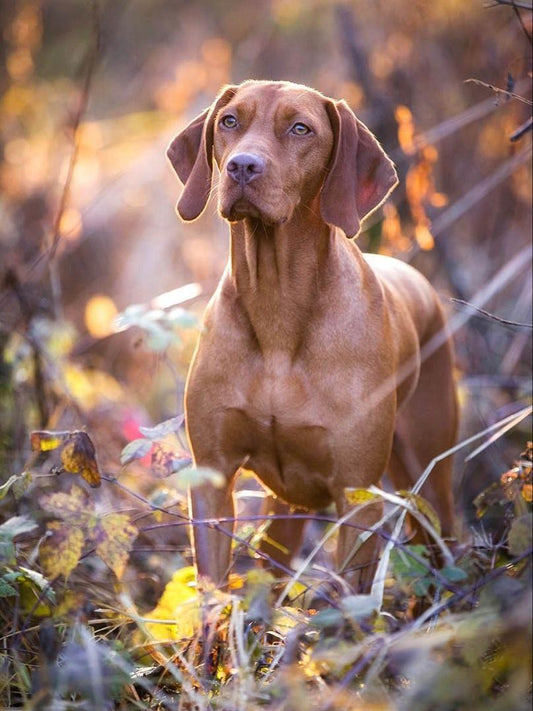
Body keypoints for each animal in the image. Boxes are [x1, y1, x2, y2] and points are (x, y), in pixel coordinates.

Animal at [167, 80, 458, 592]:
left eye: (301, 129)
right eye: (229, 122)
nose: (243, 166)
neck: (278, 306)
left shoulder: (357, 497)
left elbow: (348, 598)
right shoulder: (212, 479)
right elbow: (212, 593)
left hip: (430, 478)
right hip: (286, 508)